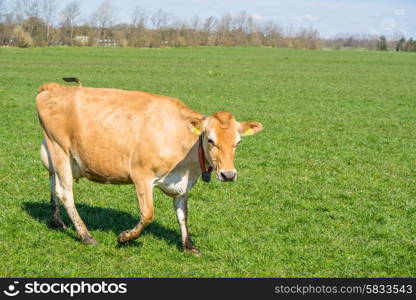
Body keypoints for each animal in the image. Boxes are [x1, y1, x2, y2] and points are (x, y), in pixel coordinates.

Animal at [36, 78, 264, 254]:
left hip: (53, 153)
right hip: (60, 149)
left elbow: (183, 215)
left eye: (238, 142)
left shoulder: (182, 185)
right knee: (65, 192)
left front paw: (189, 246)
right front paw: (125, 237)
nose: (228, 174)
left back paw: (57, 221)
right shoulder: (141, 175)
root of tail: (53, 87)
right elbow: (148, 214)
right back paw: (86, 235)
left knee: (52, 181)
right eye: (210, 140)